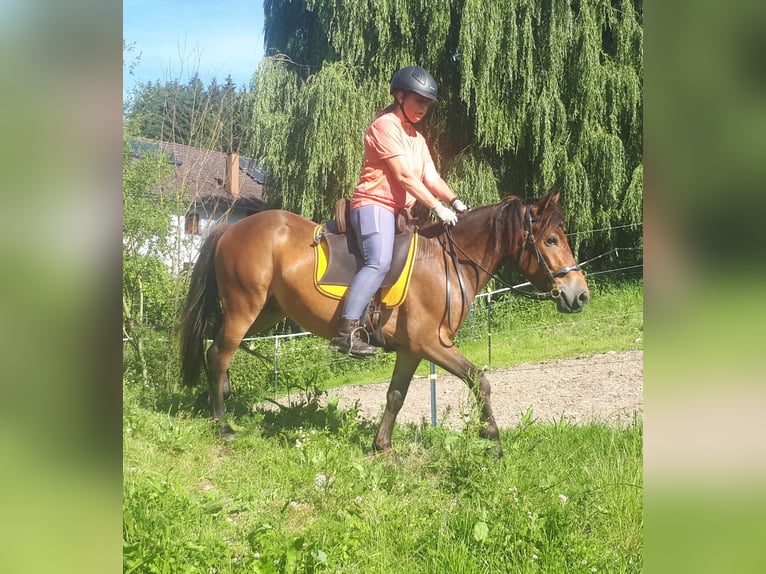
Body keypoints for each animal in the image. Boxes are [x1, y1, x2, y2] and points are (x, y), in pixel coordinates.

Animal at [182, 194, 592, 450]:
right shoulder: (432, 343)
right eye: (551, 240)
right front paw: (492, 439)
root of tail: (231, 228)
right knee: (219, 353)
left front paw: (382, 445)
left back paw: (217, 399)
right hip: (244, 308)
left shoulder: (412, 350)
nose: (580, 294)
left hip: (265, 312)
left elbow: (396, 395)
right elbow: (480, 381)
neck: (445, 262)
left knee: (216, 347)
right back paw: (222, 424)